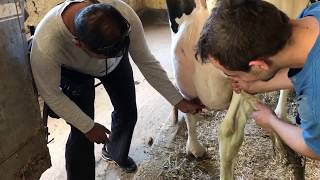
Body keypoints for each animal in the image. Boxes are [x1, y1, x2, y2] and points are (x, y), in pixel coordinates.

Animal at [166, 0, 308, 179]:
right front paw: (280, 115)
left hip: (182, 69)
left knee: (188, 110)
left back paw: (195, 148)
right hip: (241, 80)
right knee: (229, 134)